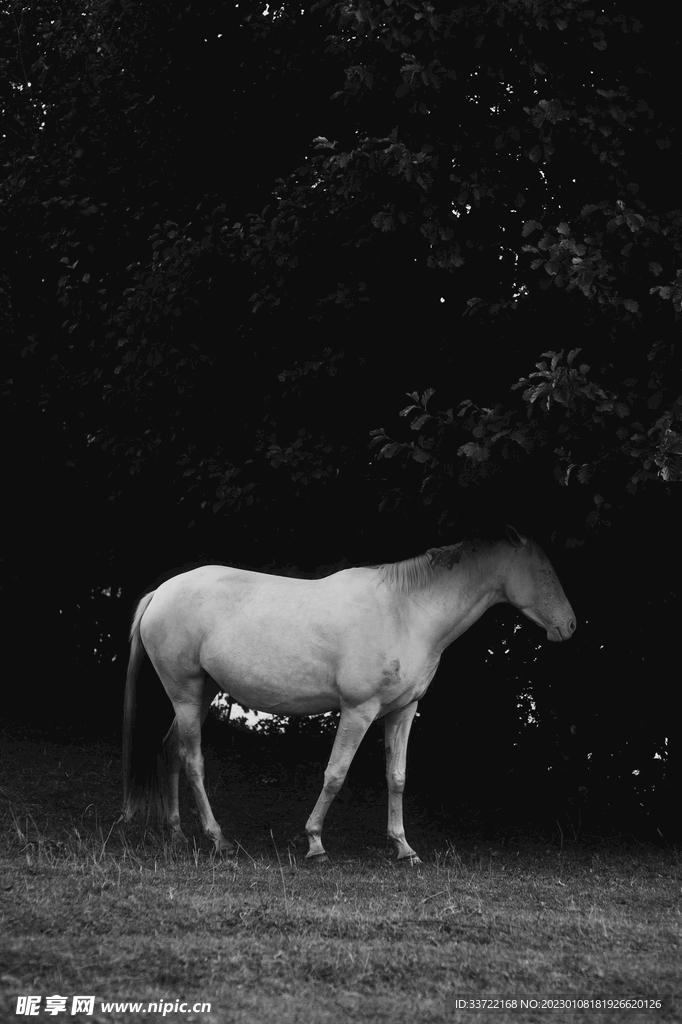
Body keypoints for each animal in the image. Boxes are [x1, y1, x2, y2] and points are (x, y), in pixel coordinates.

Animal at [122, 527, 576, 863]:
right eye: (543, 570)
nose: (569, 625)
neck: (407, 612)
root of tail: (161, 592)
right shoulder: (359, 710)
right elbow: (335, 774)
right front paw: (315, 844)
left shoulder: (403, 711)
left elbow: (397, 777)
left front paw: (404, 848)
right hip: (185, 691)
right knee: (192, 758)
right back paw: (217, 839)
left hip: (202, 692)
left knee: (171, 748)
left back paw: (176, 834)